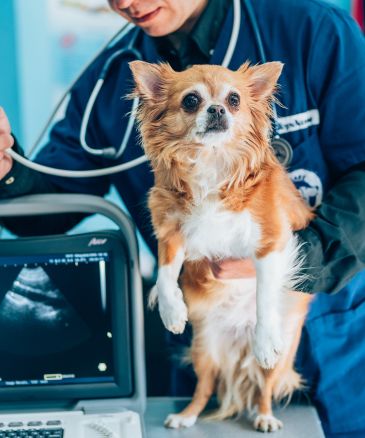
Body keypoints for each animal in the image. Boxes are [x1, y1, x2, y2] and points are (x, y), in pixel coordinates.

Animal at [129, 60, 312, 432]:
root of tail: (238, 343)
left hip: (279, 359)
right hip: (204, 349)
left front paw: (264, 337)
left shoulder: (269, 242)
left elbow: (264, 295)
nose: (216, 109)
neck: (212, 161)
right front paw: (172, 311)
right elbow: (165, 277)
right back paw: (185, 416)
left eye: (234, 100)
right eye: (191, 101)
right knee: (204, 387)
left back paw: (264, 415)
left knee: (263, 388)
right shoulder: (171, 234)